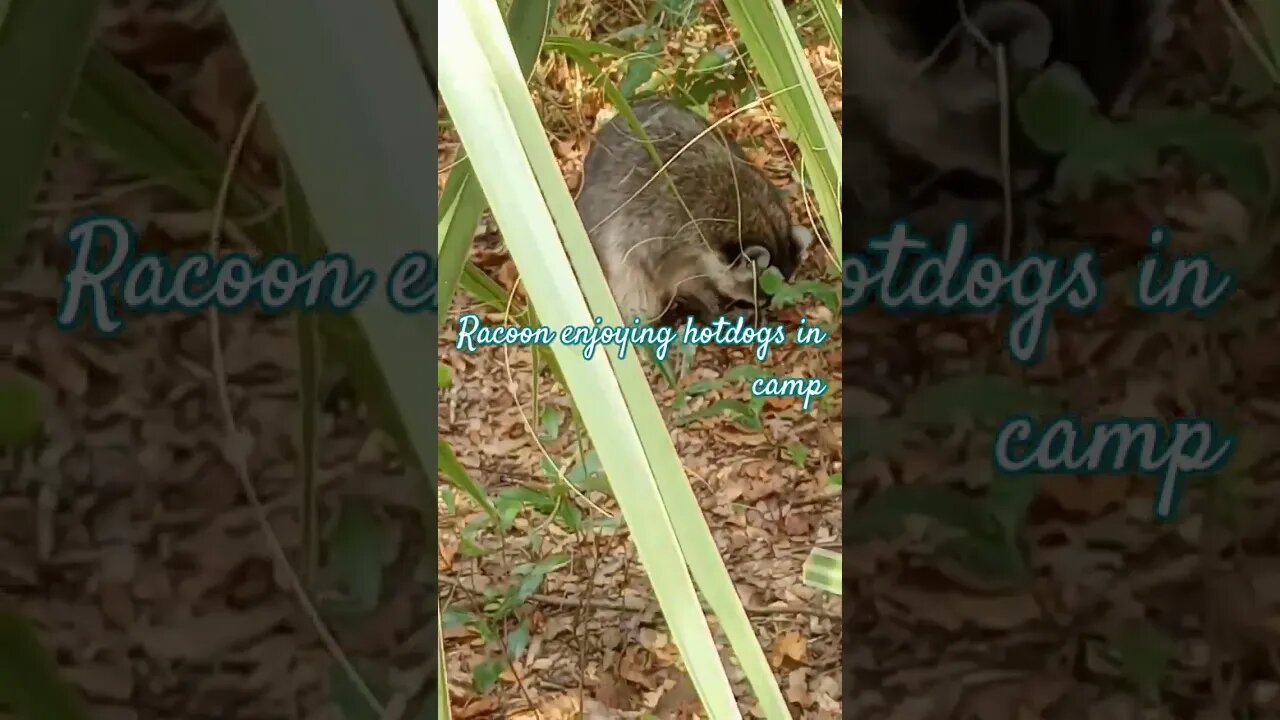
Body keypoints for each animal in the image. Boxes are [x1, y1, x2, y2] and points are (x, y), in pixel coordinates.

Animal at [578, 96, 814, 324]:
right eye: (760, 299)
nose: (768, 313)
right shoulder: (662, 234)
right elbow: (677, 279)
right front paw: (710, 303)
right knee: (633, 287)